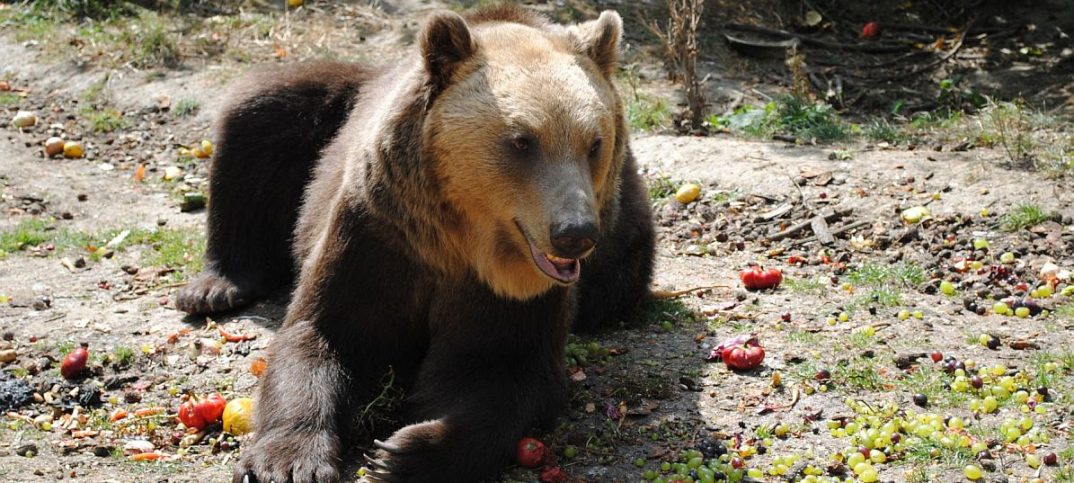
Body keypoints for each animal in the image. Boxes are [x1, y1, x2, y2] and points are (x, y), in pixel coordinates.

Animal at [176, 4, 652, 483]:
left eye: (594, 143)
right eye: (522, 141)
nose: (575, 232)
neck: (461, 244)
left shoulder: (515, 292)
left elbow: (499, 373)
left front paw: (402, 452)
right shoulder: (377, 236)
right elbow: (321, 335)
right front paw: (288, 462)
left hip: (624, 232)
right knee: (258, 113)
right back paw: (215, 287)